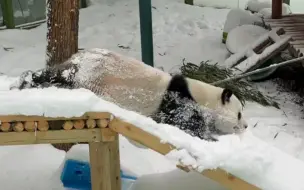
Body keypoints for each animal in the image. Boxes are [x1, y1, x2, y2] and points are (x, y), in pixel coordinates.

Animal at [10, 48, 248, 142]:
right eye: (238, 114)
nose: (245, 126)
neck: (203, 97)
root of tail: (77, 59)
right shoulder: (180, 101)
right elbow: (182, 123)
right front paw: (211, 138)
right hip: (89, 77)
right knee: (59, 78)